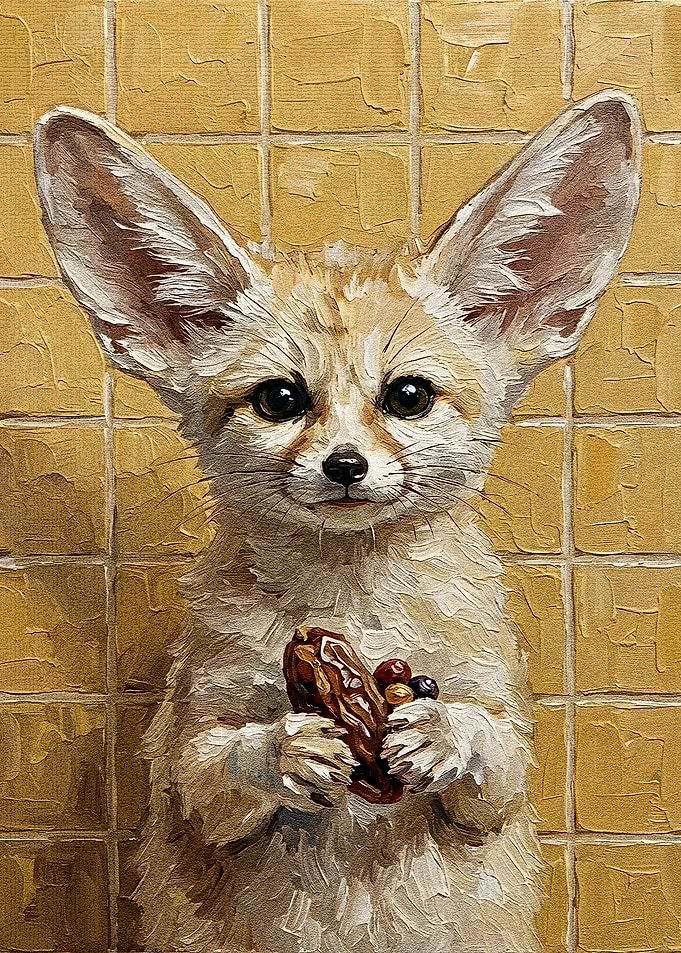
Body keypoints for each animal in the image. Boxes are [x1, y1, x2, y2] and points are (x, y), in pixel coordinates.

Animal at [34, 91, 641, 953]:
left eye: (408, 396)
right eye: (280, 399)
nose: (345, 465)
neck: (349, 605)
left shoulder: (500, 735)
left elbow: (493, 755)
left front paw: (438, 732)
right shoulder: (193, 738)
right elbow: (215, 771)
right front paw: (284, 747)